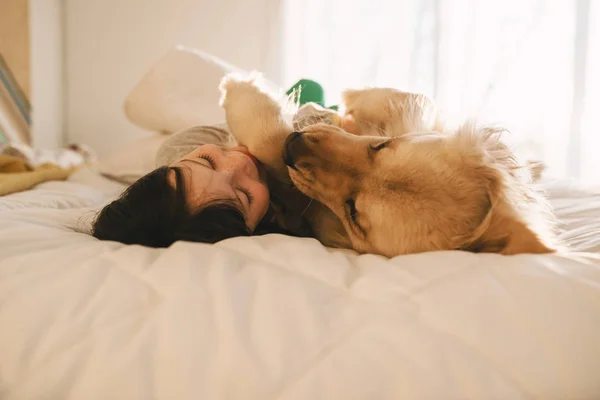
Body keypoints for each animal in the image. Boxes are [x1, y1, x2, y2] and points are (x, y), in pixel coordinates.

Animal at [219, 73, 556, 258]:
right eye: (381, 146)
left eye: (353, 211)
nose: (294, 144)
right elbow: (399, 97)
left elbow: (272, 149)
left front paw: (239, 89)